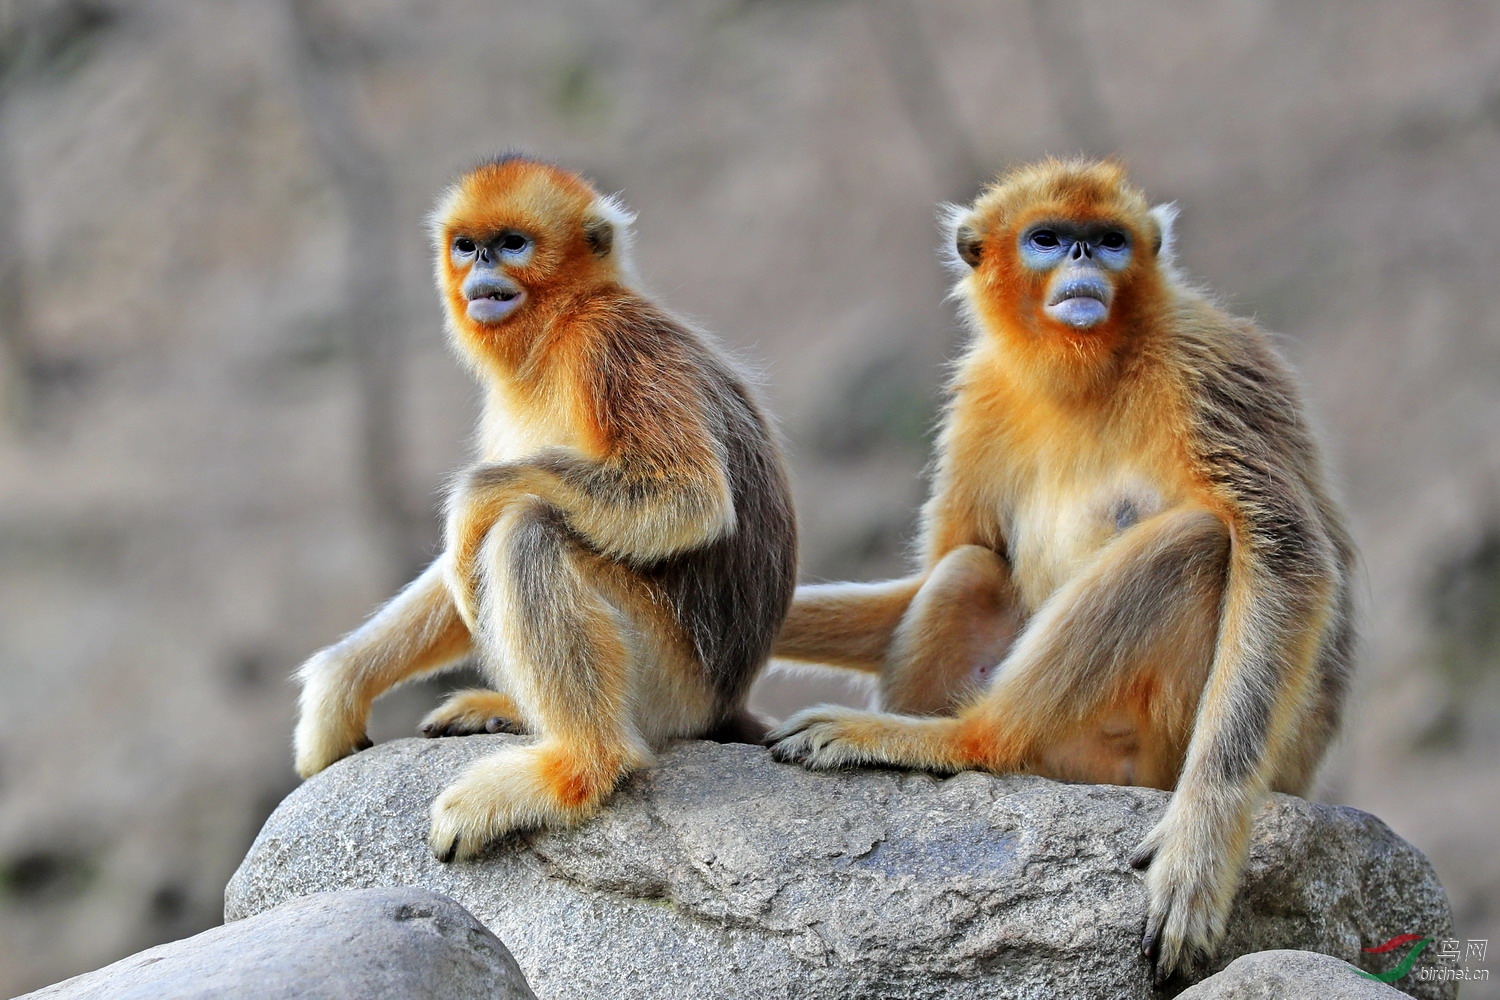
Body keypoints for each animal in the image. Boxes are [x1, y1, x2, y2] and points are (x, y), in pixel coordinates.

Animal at [291, 152, 798, 863]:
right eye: (467, 246)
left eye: (512, 244)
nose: (482, 271)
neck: (559, 325)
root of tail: (726, 706)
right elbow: (459, 566)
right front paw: (339, 687)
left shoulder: (612, 343)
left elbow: (685, 496)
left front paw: (471, 498)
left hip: (671, 689)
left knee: (531, 529)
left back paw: (576, 769)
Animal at [768, 160, 1356, 983]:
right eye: (1047, 239)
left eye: (1109, 241)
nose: (1082, 261)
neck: (1088, 370)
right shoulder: (982, 394)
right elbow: (943, 564)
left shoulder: (1202, 365)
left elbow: (1287, 553)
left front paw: (1197, 858)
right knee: (971, 568)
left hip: (1144, 753)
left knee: (1194, 543)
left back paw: (961, 743)